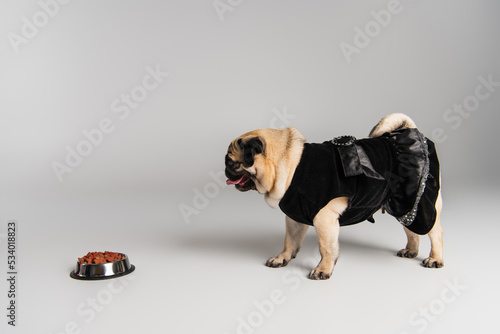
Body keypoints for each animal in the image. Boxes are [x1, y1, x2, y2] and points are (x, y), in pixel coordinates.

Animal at [225, 113, 444, 280]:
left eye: (231, 163)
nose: (225, 172)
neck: (291, 164)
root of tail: (411, 132)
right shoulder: (295, 218)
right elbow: (290, 241)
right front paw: (282, 258)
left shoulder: (324, 219)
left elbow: (327, 248)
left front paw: (323, 270)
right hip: (403, 205)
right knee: (412, 230)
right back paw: (411, 251)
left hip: (422, 202)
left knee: (435, 231)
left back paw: (435, 259)